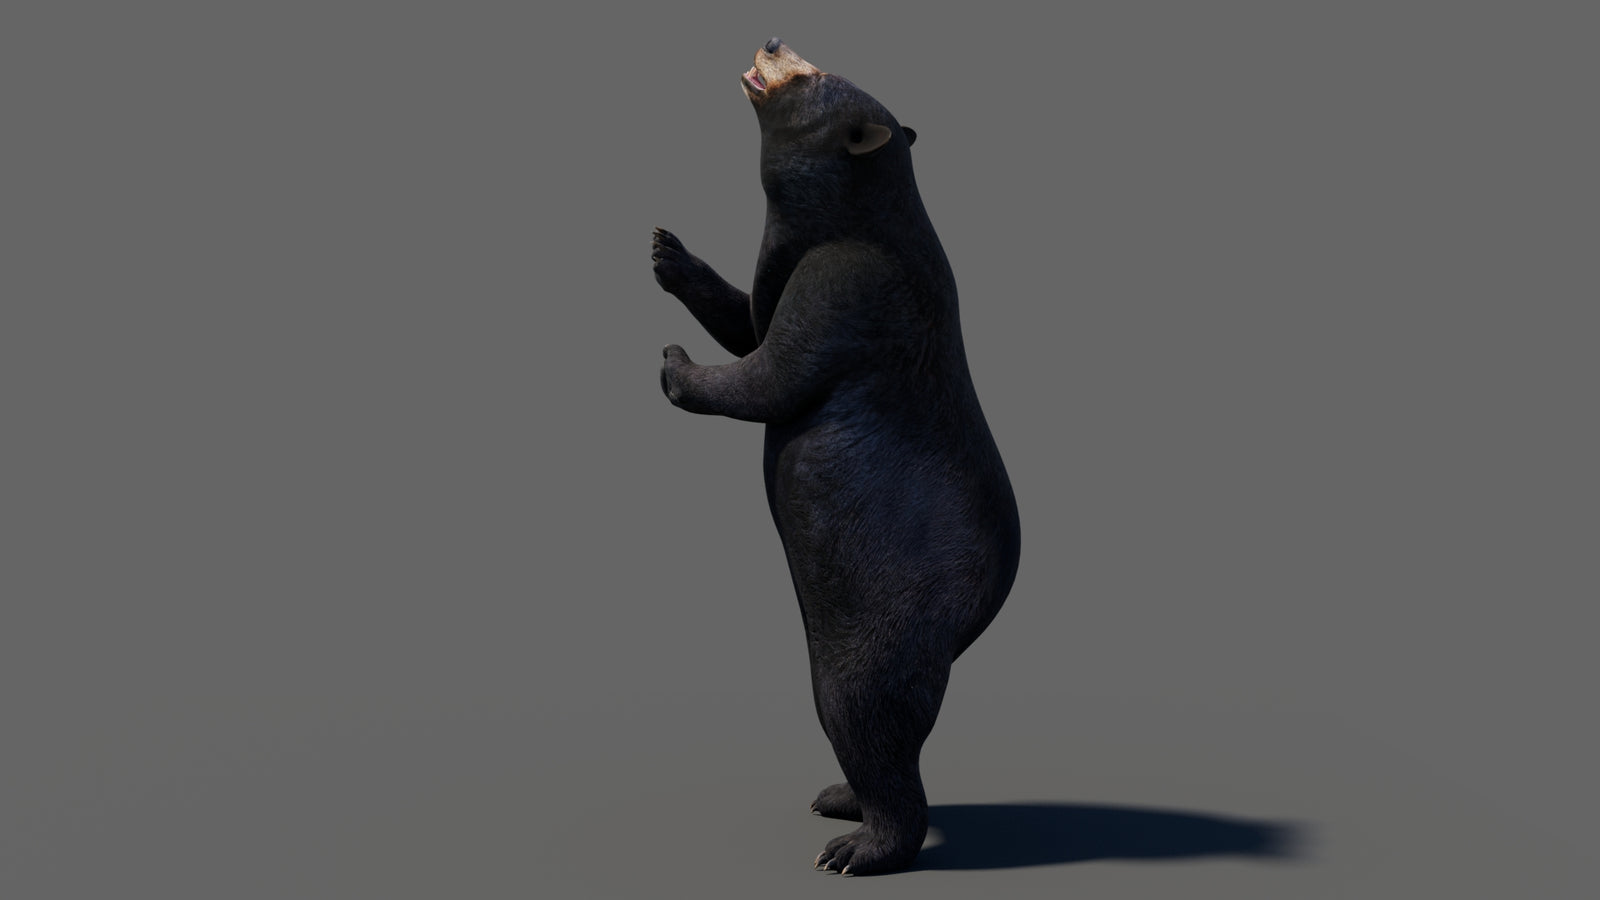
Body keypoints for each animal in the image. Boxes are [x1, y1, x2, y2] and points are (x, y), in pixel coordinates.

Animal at [653, 38, 1020, 875]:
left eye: (814, 74)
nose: (773, 39)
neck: (858, 212)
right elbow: (749, 319)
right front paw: (665, 250)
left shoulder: (848, 278)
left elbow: (773, 371)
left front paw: (672, 363)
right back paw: (836, 798)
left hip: (881, 627)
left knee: (866, 716)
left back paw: (857, 848)